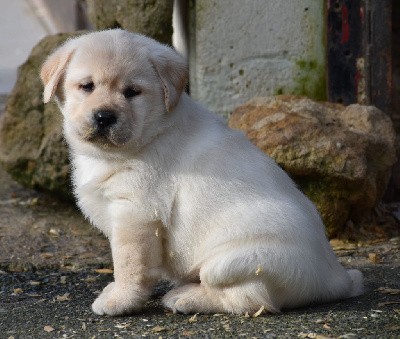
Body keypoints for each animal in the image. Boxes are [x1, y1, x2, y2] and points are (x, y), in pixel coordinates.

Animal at [39, 29, 362, 316]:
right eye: (87, 86)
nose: (104, 116)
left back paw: (187, 297)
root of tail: (335, 279)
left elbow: (129, 265)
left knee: (249, 300)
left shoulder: (136, 214)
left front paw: (119, 299)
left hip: (234, 262)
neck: (149, 134)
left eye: (132, 92)